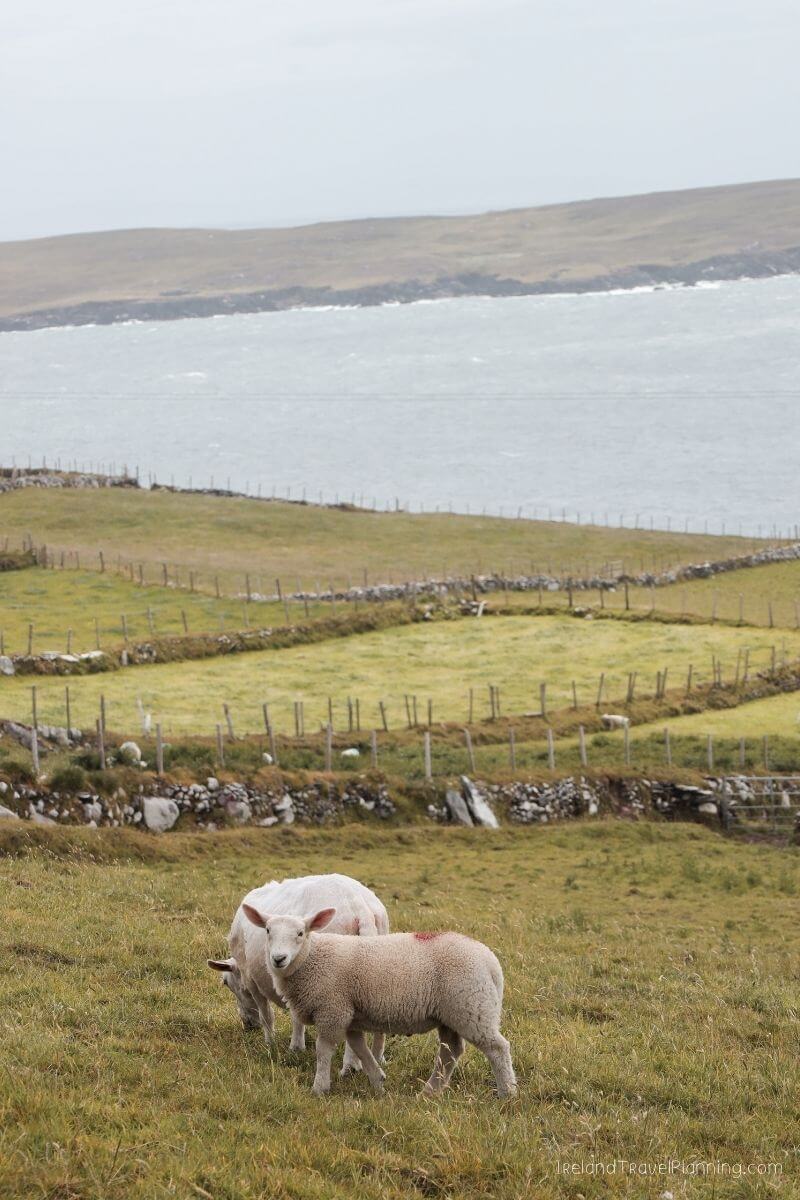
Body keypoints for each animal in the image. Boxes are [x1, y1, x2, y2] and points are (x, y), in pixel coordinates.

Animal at [209, 874, 389, 1075]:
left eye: (227, 983)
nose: (248, 1025)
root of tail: (359, 907)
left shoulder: (252, 979)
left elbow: (266, 1015)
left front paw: (271, 1045)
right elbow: (296, 1018)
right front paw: (296, 1047)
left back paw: (350, 1067)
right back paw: (377, 1059)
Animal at [241, 905, 517, 1099]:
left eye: (300, 933)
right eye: (268, 932)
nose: (278, 959)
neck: (312, 959)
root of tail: (491, 962)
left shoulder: (332, 1009)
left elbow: (323, 1050)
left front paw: (319, 1087)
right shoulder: (350, 1015)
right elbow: (360, 1049)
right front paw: (378, 1081)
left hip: (472, 1008)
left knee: (497, 1048)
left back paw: (508, 1093)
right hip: (451, 1014)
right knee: (450, 1051)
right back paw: (429, 1092)